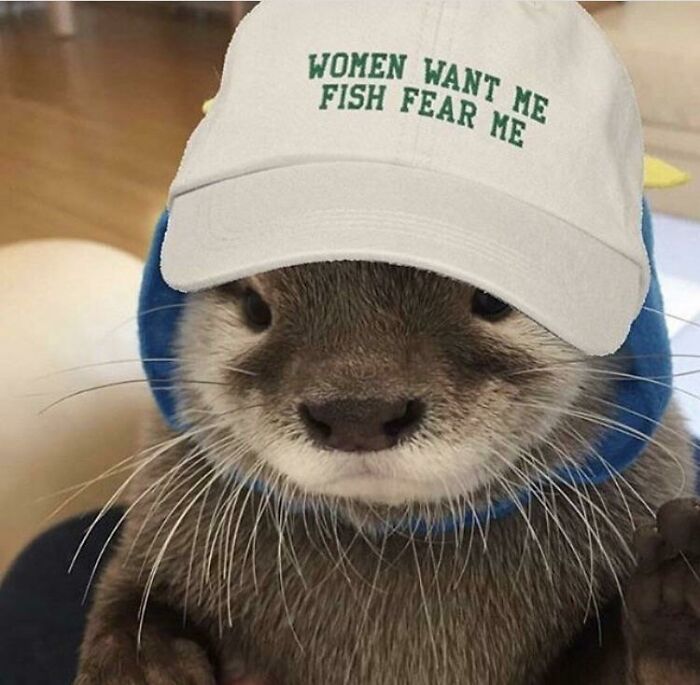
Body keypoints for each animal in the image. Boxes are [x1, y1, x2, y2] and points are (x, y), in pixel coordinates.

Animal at [74, 259, 700, 685]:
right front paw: (139, 663)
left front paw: (677, 611)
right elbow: (123, 601)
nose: (357, 412)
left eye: (492, 300)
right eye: (254, 306)